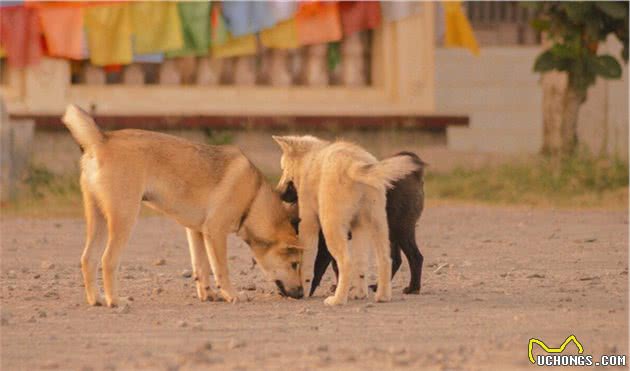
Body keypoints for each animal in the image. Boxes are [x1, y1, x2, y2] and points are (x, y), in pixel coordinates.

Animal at [62, 104, 306, 308]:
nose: (302, 294)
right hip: (124, 219)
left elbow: (202, 267)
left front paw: (209, 295)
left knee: (88, 259)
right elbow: (221, 269)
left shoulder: (197, 232)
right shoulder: (216, 233)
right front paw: (231, 294)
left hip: (98, 219)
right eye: (294, 264)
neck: (253, 198)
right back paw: (114, 300)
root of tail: (102, 139)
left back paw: (97, 299)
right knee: (108, 260)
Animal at [274, 135, 422, 306]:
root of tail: (354, 164)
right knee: (384, 260)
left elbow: (307, 264)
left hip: (333, 226)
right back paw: (378, 295)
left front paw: (302, 290)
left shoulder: (309, 224)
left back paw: (338, 299)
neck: (310, 160)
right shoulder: (358, 227)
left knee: (346, 262)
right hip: (379, 224)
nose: (278, 193)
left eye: (283, 168)